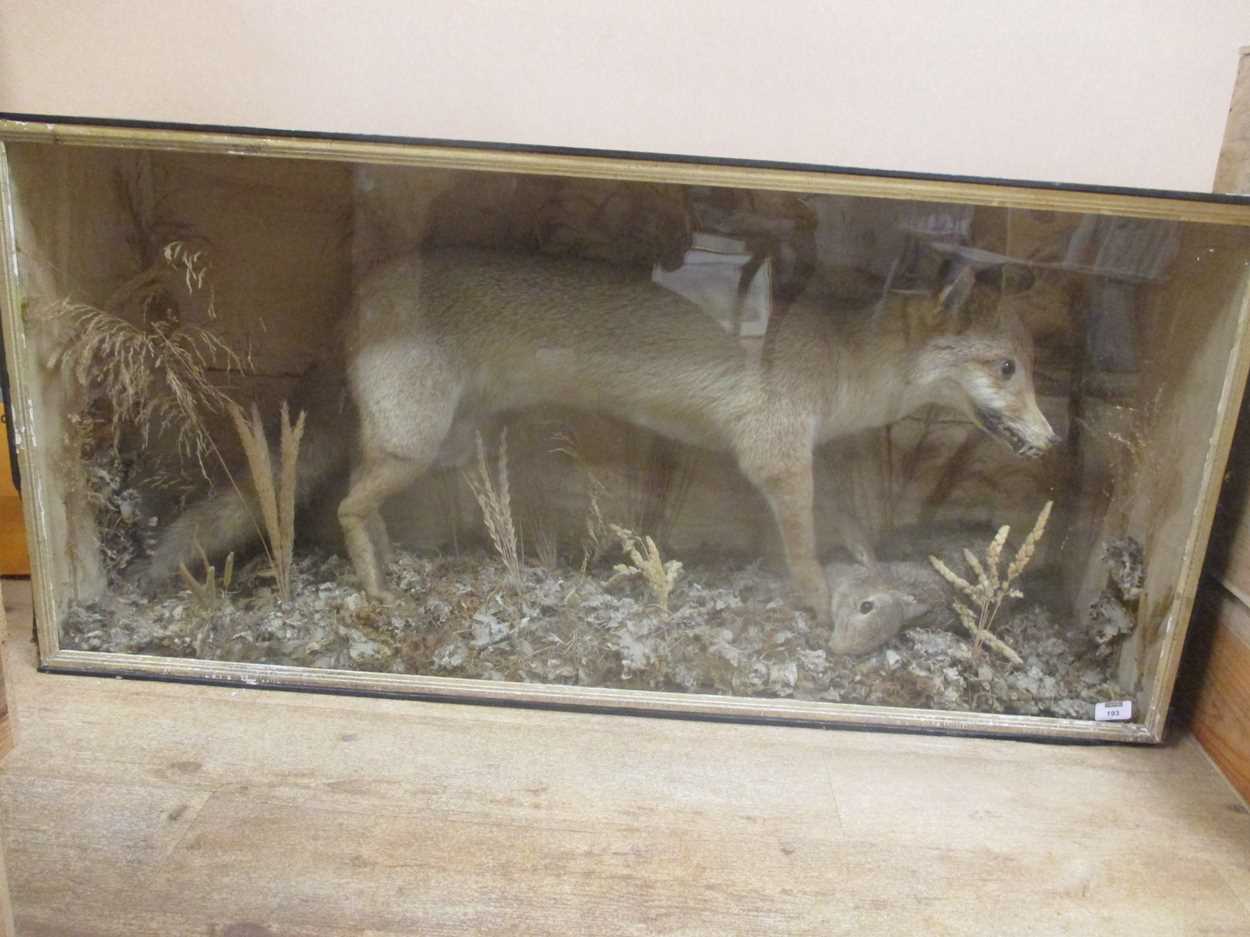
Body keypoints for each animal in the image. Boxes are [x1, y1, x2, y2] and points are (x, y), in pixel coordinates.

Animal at [141, 246, 1058, 620]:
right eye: (1008, 369)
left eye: (1032, 368)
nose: (1052, 439)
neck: (841, 361)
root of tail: (363, 288)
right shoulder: (775, 456)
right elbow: (801, 545)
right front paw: (813, 595)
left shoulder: (802, 457)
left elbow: (844, 525)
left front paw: (865, 562)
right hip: (413, 444)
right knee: (343, 508)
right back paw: (376, 586)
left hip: (439, 444)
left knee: (357, 505)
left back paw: (396, 566)